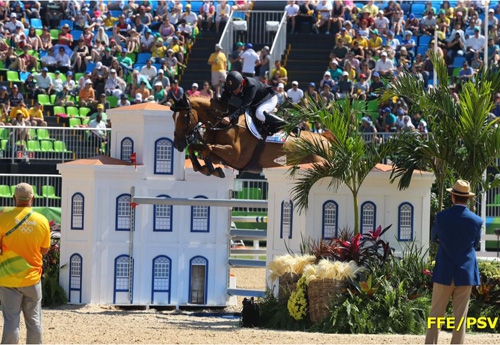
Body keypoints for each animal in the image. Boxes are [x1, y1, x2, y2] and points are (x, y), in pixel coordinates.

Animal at [170, 94, 330, 177]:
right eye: (173, 117)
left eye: (184, 117)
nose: (177, 144)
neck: (225, 122)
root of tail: (325, 139)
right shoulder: (221, 157)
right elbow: (196, 147)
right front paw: (203, 168)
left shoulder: (235, 156)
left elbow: (206, 148)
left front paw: (211, 170)